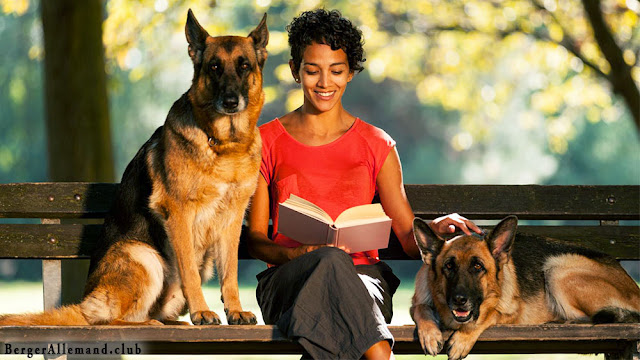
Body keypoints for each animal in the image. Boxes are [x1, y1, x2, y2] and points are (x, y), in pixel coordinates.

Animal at [0, 10, 268, 326]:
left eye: (244, 66)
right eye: (214, 67)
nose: (230, 101)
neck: (224, 145)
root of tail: (85, 301)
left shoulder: (232, 219)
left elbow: (231, 273)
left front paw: (235, 310)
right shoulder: (179, 213)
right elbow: (189, 271)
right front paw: (202, 311)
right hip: (144, 255)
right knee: (108, 320)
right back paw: (150, 323)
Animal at [410, 215, 640, 358]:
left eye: (477, 266)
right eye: (449, 266)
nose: (459, 300)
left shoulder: (511, 313)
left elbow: (487, 316)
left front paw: (463, 338)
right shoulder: (418, 302)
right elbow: (421, 309)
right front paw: (430, 334)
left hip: (556, 268)